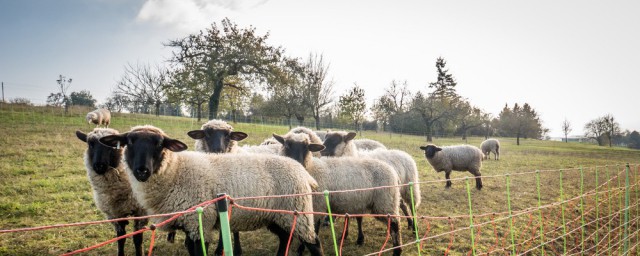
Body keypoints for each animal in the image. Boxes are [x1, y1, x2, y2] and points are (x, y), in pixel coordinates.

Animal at [101, 126, 324, 256]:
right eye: (129, 142)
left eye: (159, 144)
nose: (142, 170)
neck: (176, 171)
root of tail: (303, 172)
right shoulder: (189, 224)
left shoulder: (201, 220)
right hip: (277, 215)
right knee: (286, 238)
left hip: (299, 211)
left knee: (314, 242)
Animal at [272, 132, 402, 256]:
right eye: (287, 145)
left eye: (307, 147)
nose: (298, 164)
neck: (312, 169)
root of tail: (392, 171)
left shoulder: (317, 206)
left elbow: (312, 231)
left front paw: (301, 249)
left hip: (386, 202)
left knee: (394, 225)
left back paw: (397, 251)